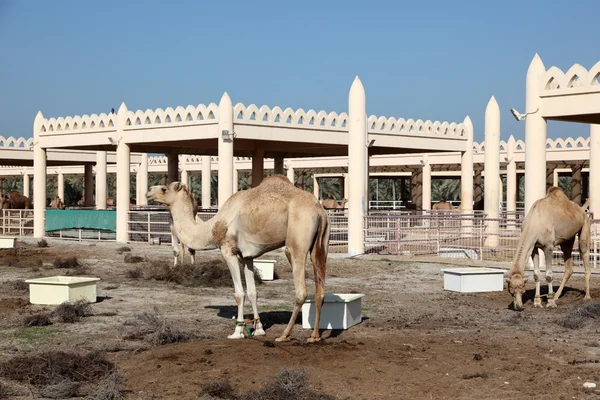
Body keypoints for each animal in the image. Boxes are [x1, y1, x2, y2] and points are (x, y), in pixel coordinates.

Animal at [148, 173, 330, 342]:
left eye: (164, 189)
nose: (148, 191)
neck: (212, 228)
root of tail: (319, 210)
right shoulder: (247, 257)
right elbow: (252, 292)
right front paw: (258, 329)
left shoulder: (229, 251)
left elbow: (239, 293)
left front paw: (237, 331)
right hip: (321, 245)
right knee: (320, 290)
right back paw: (315, 336)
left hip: (297, 242)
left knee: (301, 290)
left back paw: (285, 334)